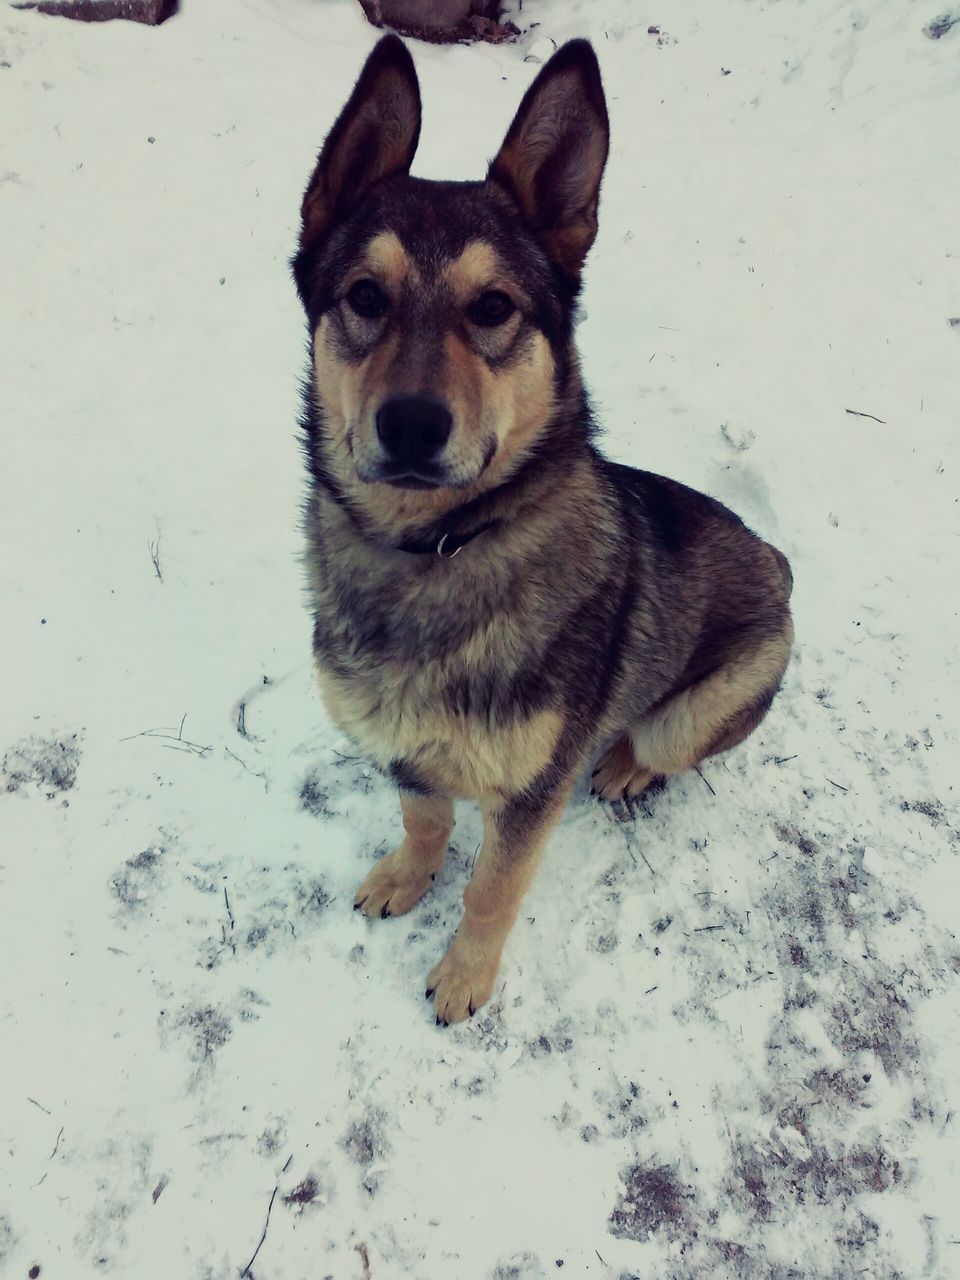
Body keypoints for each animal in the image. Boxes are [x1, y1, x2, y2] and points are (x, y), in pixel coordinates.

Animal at [293, 35, 798, 1024]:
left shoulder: (531, 790)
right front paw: (406, 877)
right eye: (364, 295)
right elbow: (423, 818)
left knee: (662, 742)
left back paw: (629, 764)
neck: (438, 550)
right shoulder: (405, 752)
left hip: (703, 706)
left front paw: (464, 978)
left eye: (493, 308)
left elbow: (493, 886)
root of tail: (779, 561)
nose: (411, 425)